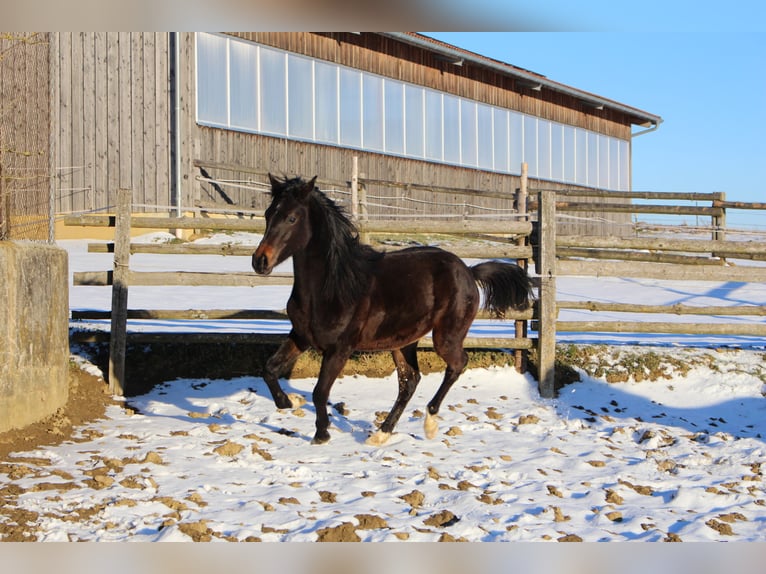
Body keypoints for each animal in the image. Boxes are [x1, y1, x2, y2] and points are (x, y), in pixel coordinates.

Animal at [252, 174, 533, 445]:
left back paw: (429, 422)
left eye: (292, 217)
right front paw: (290, 401)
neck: (333, 285)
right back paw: (382, 433)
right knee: (410, 380)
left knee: (457, 364)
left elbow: (320, 391)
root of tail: (468, 271)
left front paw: (321, 434)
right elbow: (268, 369)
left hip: (446, 337)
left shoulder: (340, 349)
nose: (260, 261)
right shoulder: (301, 336)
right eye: (268, 213)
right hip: (402, 341)